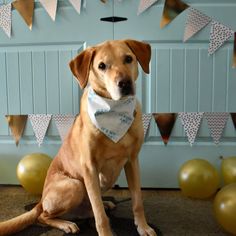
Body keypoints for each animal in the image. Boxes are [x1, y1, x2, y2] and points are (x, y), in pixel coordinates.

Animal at [0, 39, 157, 235]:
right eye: (102, 66)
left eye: (128, 59)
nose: (125, 83)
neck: (113, 110)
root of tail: (40, 200)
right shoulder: (89, 168)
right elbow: (99, 216)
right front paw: (106, 232)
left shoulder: (132, 161)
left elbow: (137, 202)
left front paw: (143, 227)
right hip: (74, 185)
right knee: (43, 217)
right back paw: (65, 224)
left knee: (88, 207)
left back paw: (105, 203)